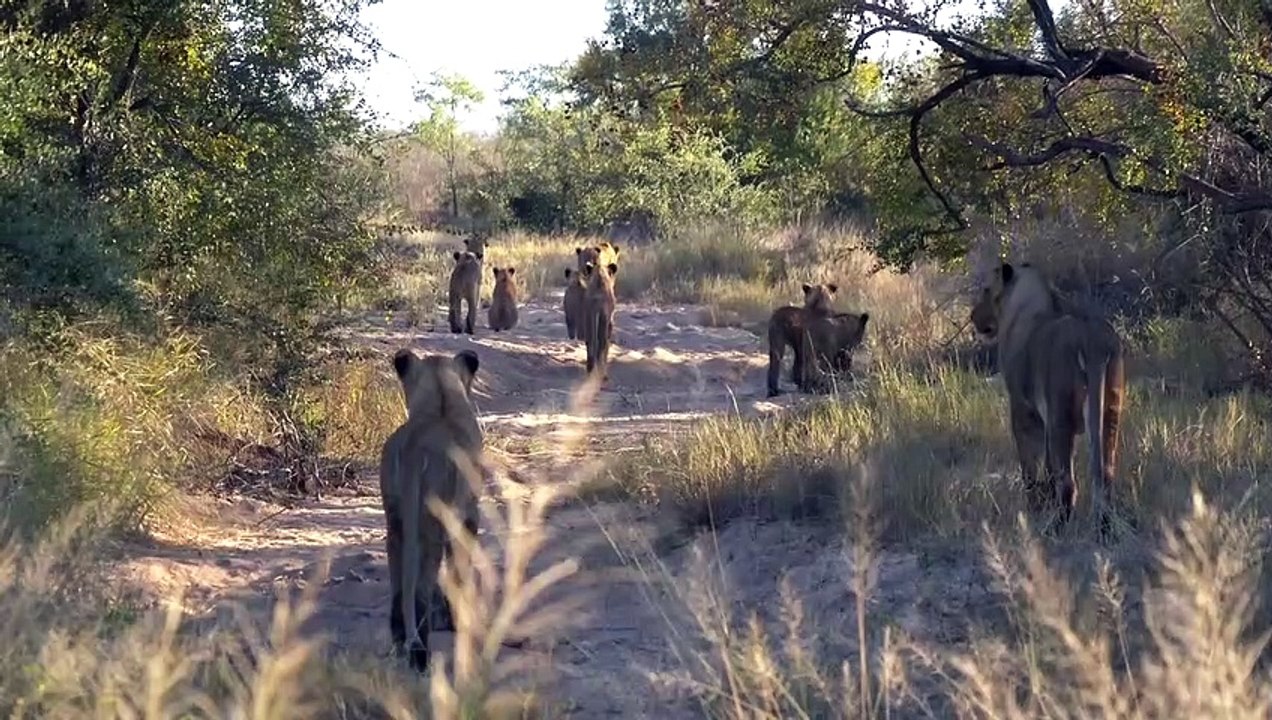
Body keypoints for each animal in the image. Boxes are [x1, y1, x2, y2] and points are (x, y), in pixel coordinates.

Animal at [379, 348, 484, 672]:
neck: (440, 405)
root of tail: (419, 449)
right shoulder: (468, 514)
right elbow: (458, 568)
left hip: (399, 521)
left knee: (401, 584)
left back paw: (401, 640)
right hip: (435, 521)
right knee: (423, 586)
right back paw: (420, 653)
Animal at [971, 261, 1126, 528]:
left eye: (986, 289)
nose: (972, 316)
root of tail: (1091, 341)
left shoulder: (1024, 410)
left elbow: (1030, 466)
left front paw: (1033, 507)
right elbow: (1048, 466)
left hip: (1060, 415)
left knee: (1069, 483)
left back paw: (1057, 525)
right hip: (1109, 411)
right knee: (1106, 475)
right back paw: (1104, 525)